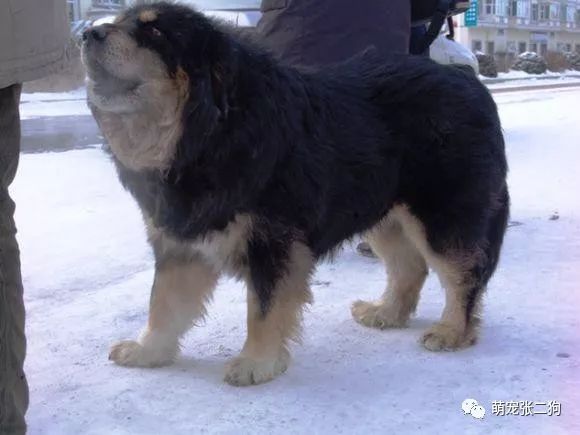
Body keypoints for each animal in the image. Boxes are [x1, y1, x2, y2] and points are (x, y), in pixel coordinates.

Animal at [81, 1, 508, 386]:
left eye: (154, 31)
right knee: (410, 267)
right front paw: (148, 351)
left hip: (442, 217)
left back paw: (453, 331)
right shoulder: (181, 242)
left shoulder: (274, 242)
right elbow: (163, 303)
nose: (87, 33)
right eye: (118, 20)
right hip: (383, 213)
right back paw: (387, 312)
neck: (211, 132)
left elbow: (263, 308)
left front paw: (256, 362)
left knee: (464, 274)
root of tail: (469, 81)